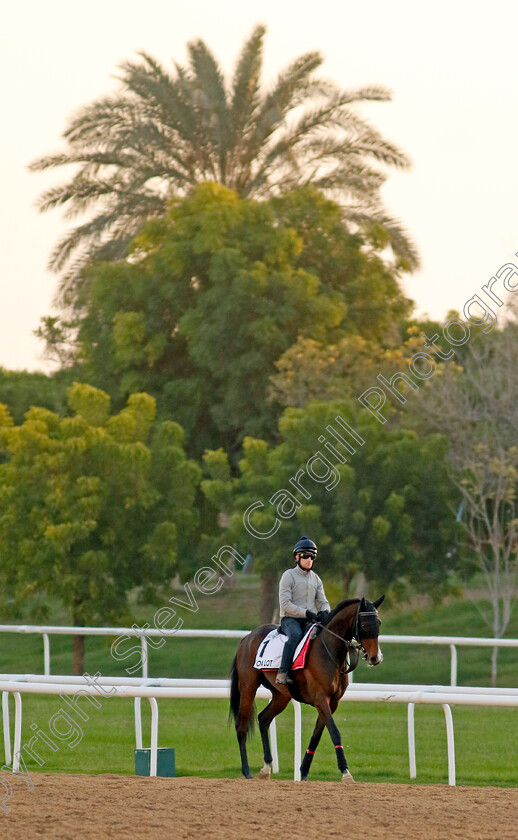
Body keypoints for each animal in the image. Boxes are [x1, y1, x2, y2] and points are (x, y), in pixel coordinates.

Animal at [230, 596, 384, 780]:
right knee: (241, 726)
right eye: (365, 625)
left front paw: (303, 772)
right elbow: (334, 732)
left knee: (263, 719)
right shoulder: (320, 699)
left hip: (281, 696)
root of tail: (247, 637)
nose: (376, 657)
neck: (329, 649)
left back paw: (266, 767)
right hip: (248, 687)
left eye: (379, 623)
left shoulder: (332, 702)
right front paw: (345, 772)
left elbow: (316, 736)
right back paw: (246, 771)